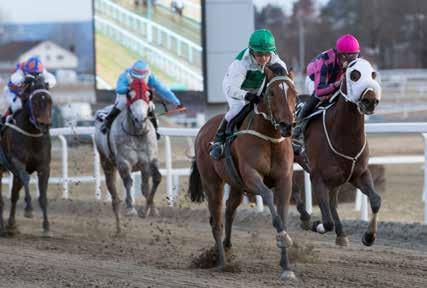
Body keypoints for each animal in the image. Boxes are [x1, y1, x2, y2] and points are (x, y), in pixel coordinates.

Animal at [0, 75, 53, 237]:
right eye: (34, 102)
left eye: (50, 101)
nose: (44, 124)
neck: (32, 135)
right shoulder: (17, 162)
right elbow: (26, 178)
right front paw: (29, 209)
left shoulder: (44, 167)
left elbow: (43, 196)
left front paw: (46, 227)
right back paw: (3, 228)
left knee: (13, 195)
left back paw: (11, 225)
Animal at [95, 80, 162, 234]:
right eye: (130, 95)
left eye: (148, 95)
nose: (140, 120)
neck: (137, 134)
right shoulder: (123, 162)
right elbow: (128, 182)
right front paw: (131, 208)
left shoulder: (148, 161)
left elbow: (153, 181)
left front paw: (149, 210)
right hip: (106, 162)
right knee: (113, 191)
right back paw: (118, 225)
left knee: (144, 186)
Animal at [189, 66, 300, 282]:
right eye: (271, 93)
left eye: (294, 93)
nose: (287, 126)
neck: (269, 137)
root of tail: (202, 130)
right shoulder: (251, 176)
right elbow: (267, 195)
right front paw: (282, 236)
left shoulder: (285, 180)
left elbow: (282, 213)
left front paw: (286, 267)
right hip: (212, 183)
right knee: (217, 221)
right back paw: (222, 263)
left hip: (235, 185)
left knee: (230, 211)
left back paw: (227, 247)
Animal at [298, 59, 384, 248]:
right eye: (354, 74)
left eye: (373, 74)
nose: (370, 100)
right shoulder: (317, 178)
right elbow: (327, 221)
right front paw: (317, 224)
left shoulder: (358, 173)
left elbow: (376, 201)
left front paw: (369, 236)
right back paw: (305, 216)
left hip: (336, 179)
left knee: (332, 202)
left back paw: (341, 234)